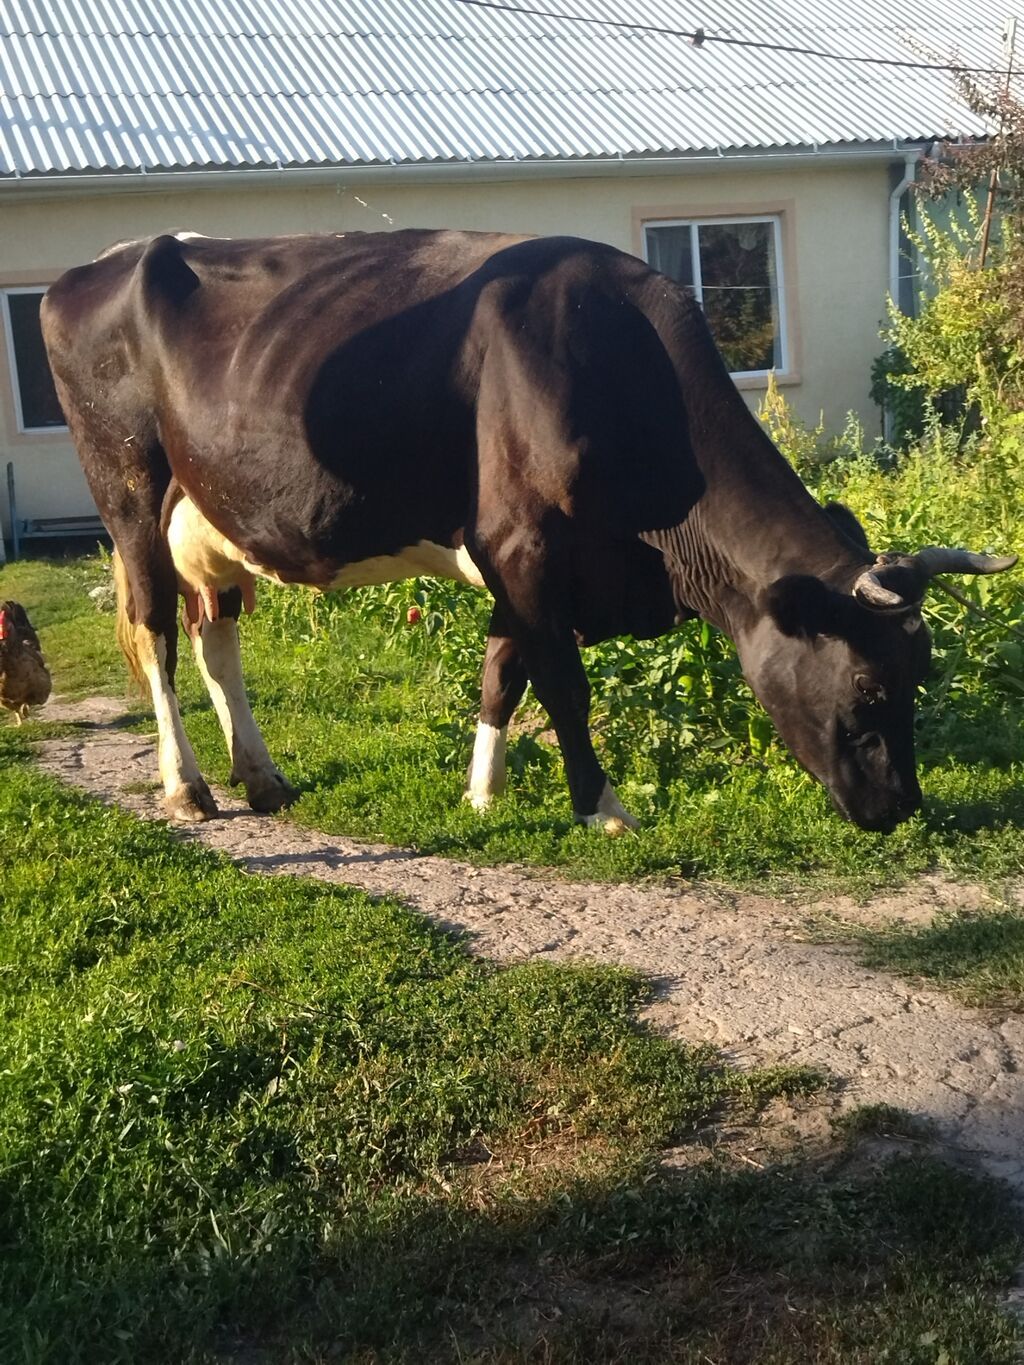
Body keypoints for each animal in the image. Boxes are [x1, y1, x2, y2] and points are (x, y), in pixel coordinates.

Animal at [41, 230, 1015, 836]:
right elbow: (564, 685)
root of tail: (92, 267)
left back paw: (263, 776)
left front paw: (483, 794)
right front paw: (603, 806)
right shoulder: (526, 547)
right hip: (128, 491)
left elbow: (501, 672)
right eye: (864, 684)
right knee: (158, 633)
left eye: (921, 670)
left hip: (208, 522)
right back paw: (188, 786)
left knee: (218, 637)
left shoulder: (516, 563)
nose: (901, 805)